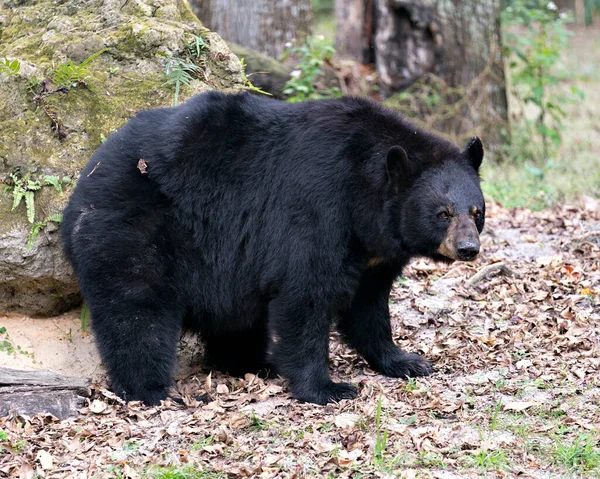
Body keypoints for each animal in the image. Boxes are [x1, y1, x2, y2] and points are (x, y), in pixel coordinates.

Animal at [61, 90, 486, 404]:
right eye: (443, 213)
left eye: (476, 210)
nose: (468, 248)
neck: (363, 197)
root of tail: (84, 182)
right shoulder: (317, 208)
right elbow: (305, 295)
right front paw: (328, 388)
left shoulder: (372, 254)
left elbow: (368, 305)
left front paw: (406, 361)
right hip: (134, 227)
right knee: (137, 309)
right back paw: (149, 389)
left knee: (233, 319)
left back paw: (250, 363)